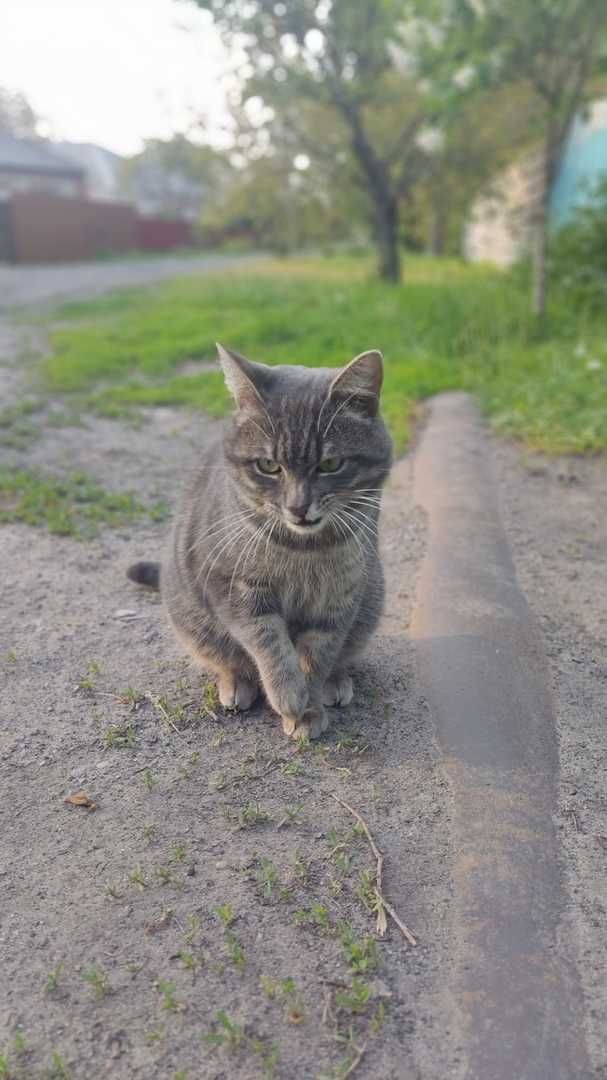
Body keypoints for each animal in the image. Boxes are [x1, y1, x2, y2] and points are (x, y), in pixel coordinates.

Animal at [127, 345, 393, 743]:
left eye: (330, 463)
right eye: (268, 465)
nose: (298, 507)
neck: (303, 550)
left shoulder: (339, 597)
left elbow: (319, 654)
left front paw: (309, 705)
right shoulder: (235, 588)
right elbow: (269, 643)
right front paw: (289, 696)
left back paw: (336, 682)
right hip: (191, 619)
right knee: (225, 658)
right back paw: (236, 684)